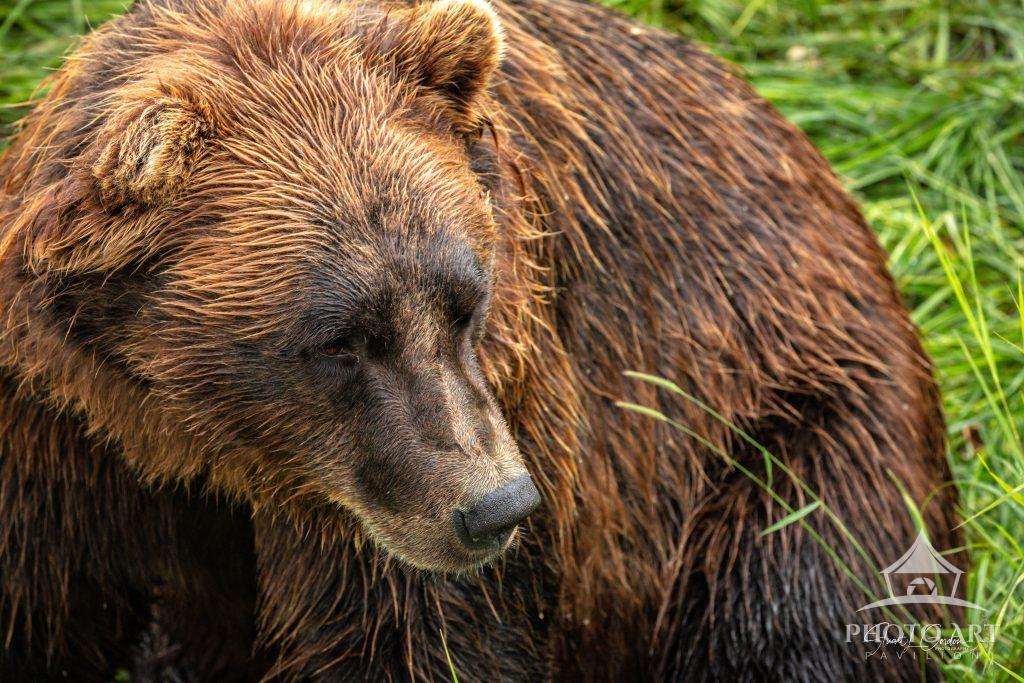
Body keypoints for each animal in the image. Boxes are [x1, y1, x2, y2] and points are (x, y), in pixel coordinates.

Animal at [0, 0, 962, 680]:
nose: (498, 506)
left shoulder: (465, 427)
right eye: (341, 337)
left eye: (466, 296)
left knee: (801, 581)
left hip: (780, 409)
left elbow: (422, 637)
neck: (193, 438)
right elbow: (39, 606)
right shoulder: (57, 438)